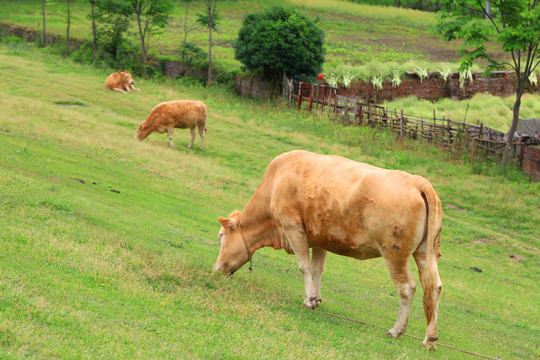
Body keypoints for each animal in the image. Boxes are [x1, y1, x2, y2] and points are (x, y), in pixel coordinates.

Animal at [212, 150, 442, 350]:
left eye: (221, 236)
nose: (215, 269)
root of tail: (418, 181)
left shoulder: (293, 227)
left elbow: (304, 267)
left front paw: (308, 300)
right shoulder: (319, 238)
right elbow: (317, 269)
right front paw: (317, 298)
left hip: (394, 253)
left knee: (407, 288)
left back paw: (396, 330)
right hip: (426, 252)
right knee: (434, 287)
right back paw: (429, 339)